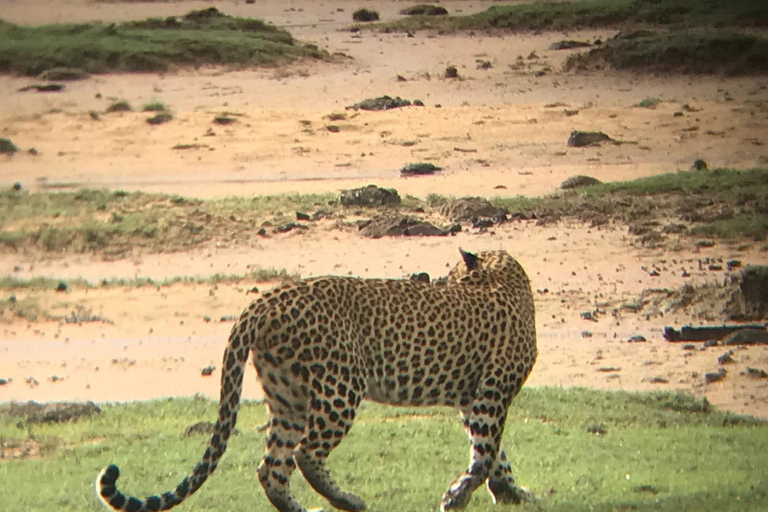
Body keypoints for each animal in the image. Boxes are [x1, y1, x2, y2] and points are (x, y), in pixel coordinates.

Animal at [96, 248, 536, 512]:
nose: (440, 282)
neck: (508, 279)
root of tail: (262, 302)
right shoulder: (491, 395)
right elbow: (485, 455)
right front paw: (456, 497)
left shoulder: (474, 399)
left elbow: (496, 455)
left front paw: (511, 493)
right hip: (342, 386)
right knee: (305, 453)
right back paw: (349, 501)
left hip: (287, 396)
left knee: (272, 468)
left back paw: (308, 507)